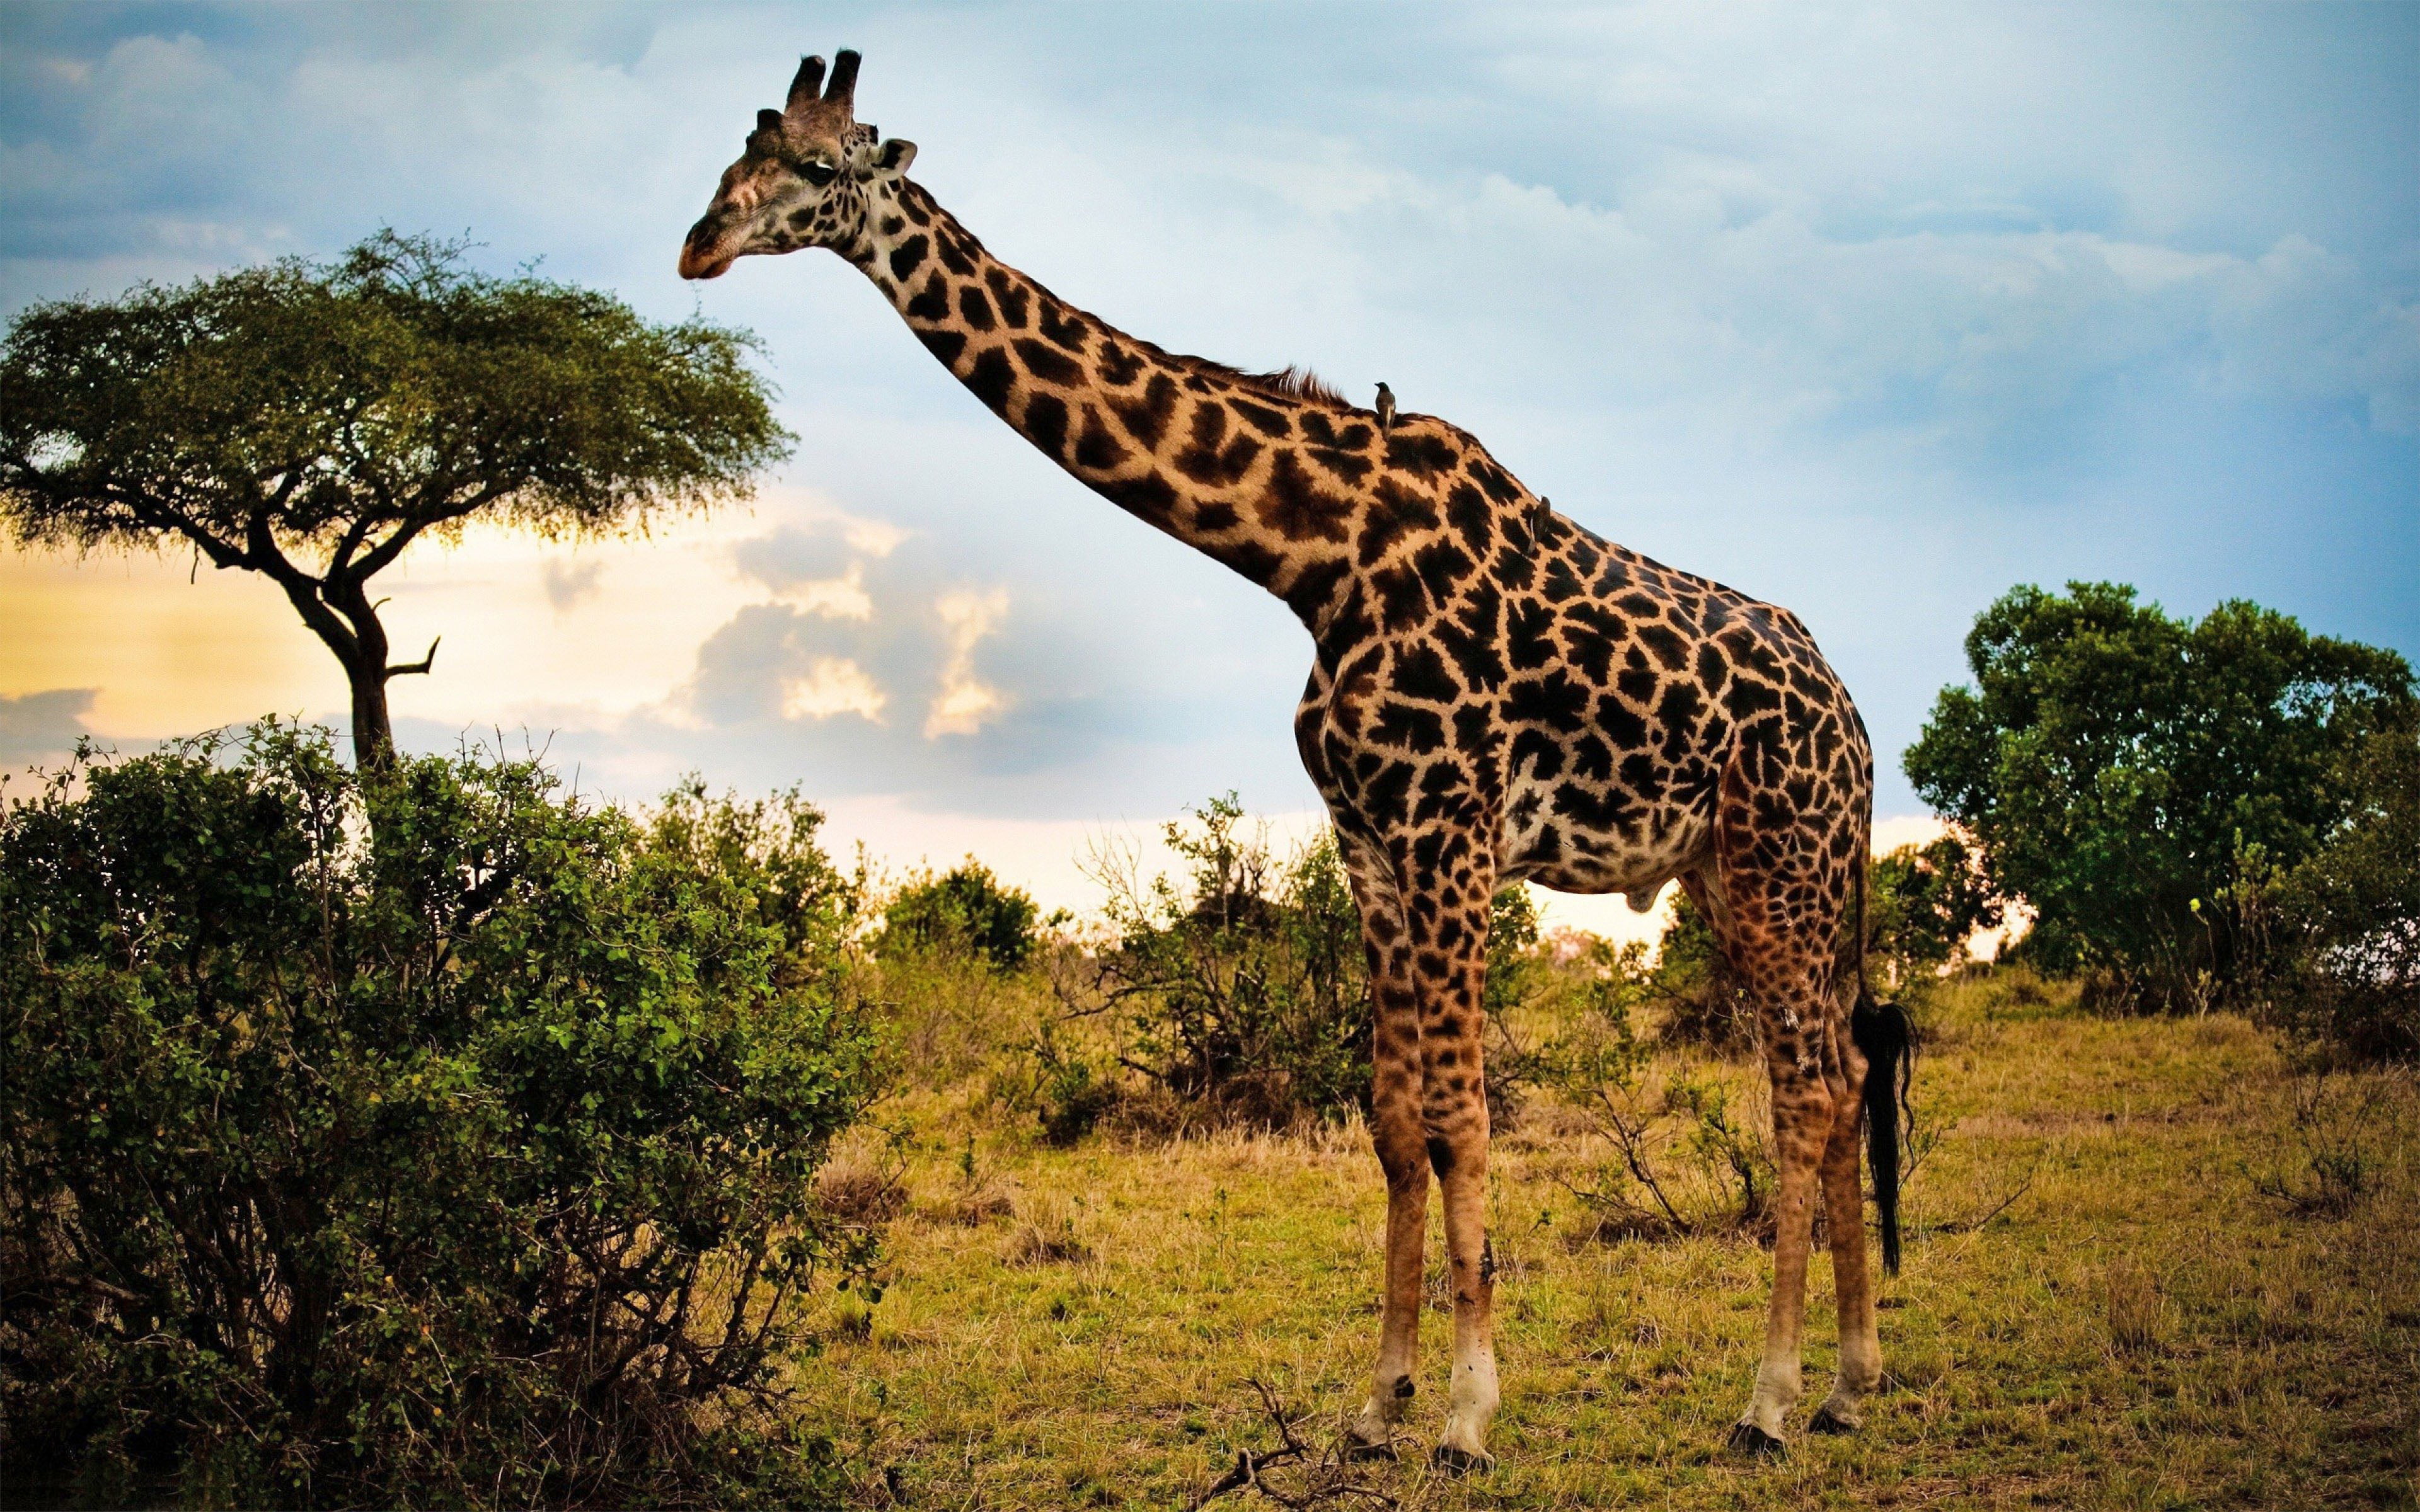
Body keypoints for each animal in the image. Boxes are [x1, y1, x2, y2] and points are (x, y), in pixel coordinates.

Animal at [680, 50, 1910, 1470]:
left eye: (821, 167)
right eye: (736, 151)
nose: (699, 244)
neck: (1309, 557)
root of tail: (1856, 720)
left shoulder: (1451, 833)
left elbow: (1465, 1116)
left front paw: (1469, 1416)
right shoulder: (1371, 842)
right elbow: (1392, 1121)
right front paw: (1380, 1405)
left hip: (1780, 864)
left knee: (1809, 1088)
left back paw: (1768, 1402)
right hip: (1740, 871)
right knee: (1845, 1069)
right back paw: (1850, 1381)